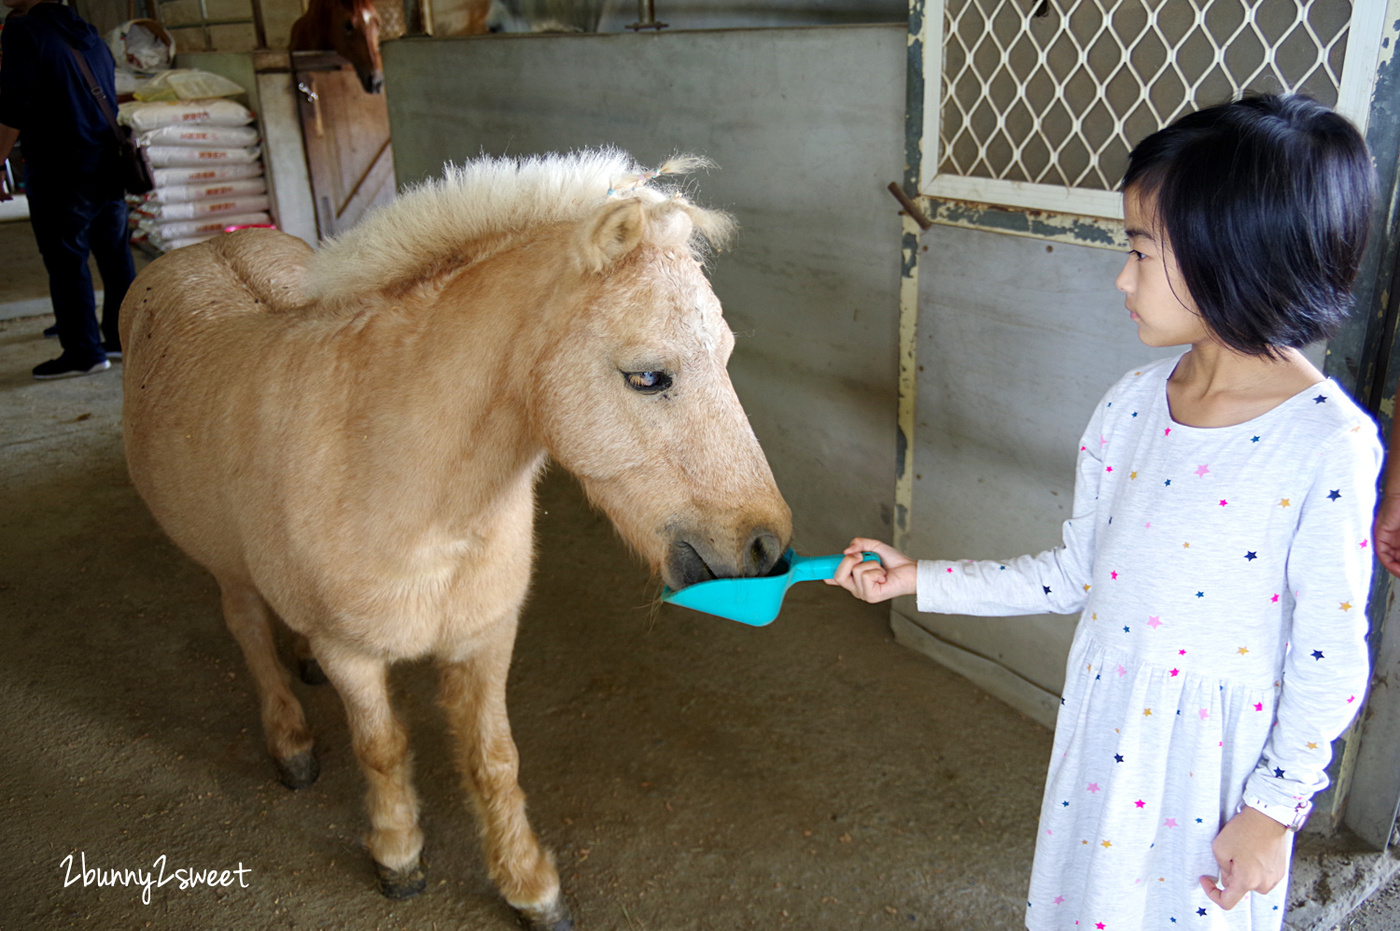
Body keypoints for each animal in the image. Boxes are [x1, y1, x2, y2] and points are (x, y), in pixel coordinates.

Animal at [119, 149, 789, 924]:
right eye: (648, 377)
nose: (767, 547)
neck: (398, 486)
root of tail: (199, 248)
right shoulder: (353, 655)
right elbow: (381, 748)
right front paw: (398, 855)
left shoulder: (484, 638)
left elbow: (493, 759)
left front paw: (528, 884)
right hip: (225, 567)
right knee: (250, 629)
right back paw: (289, 742)